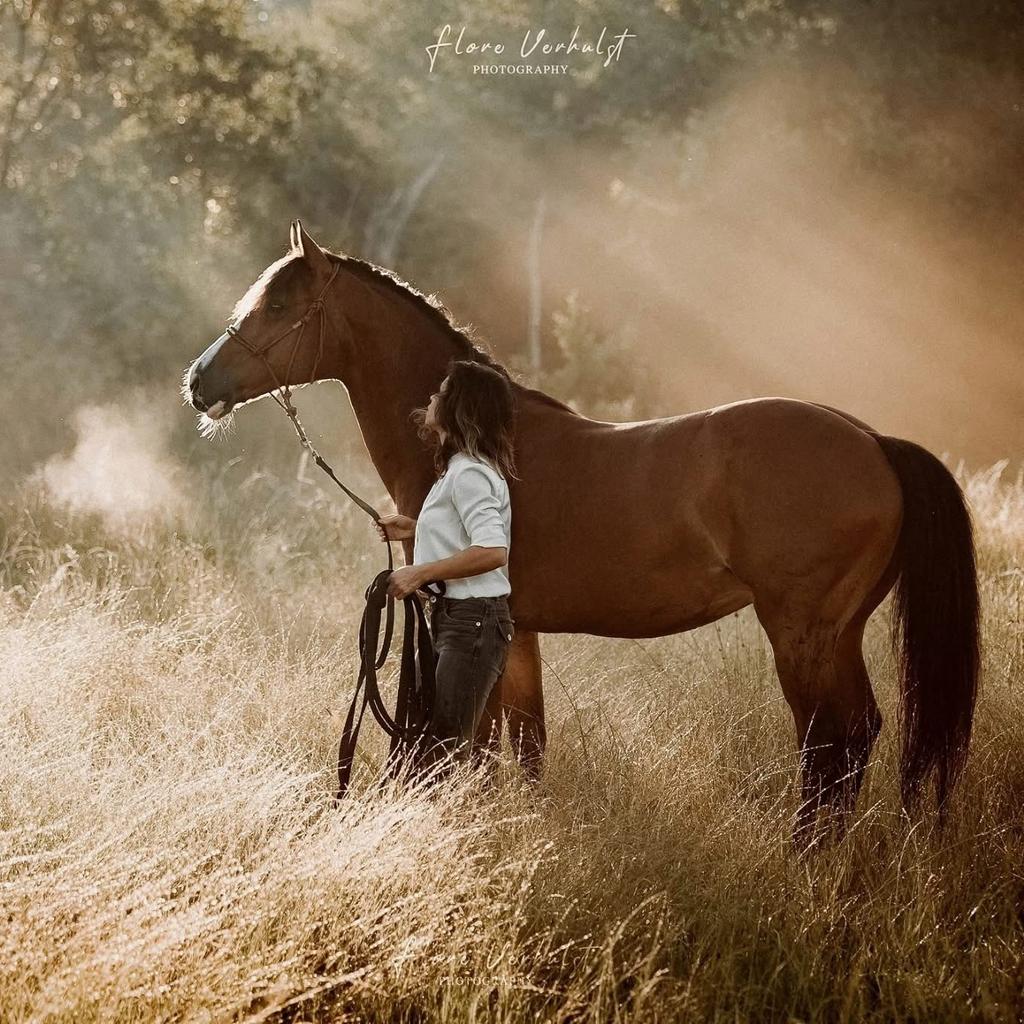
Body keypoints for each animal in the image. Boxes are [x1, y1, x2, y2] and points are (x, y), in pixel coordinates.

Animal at [185, 220, 979, 841]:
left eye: (279, 303)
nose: (198, 382)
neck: (481, 441)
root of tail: (873, 441)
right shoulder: (518, 632)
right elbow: (525, 744)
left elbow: (476, 743)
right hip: (838, 634)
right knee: (859, 738)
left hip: (803, 634)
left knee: (829, 745)